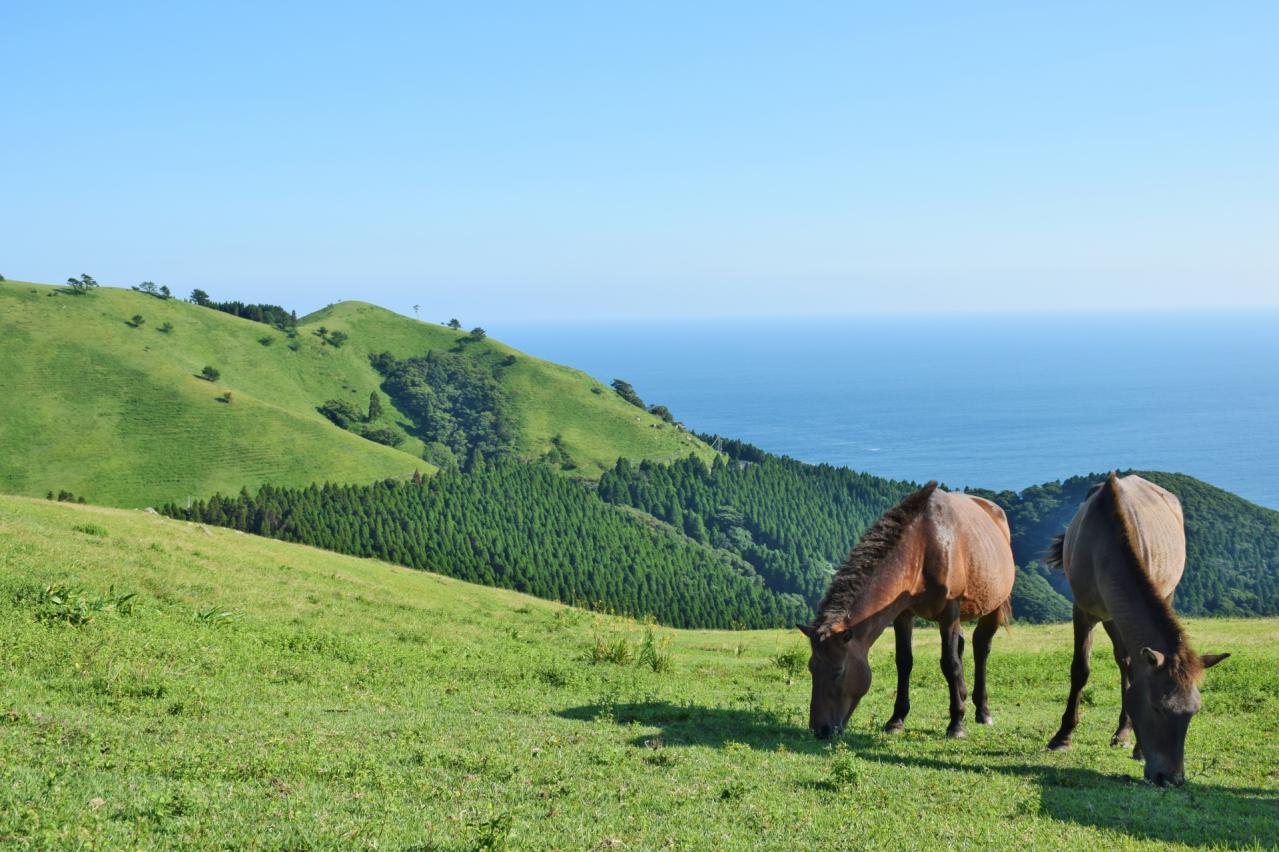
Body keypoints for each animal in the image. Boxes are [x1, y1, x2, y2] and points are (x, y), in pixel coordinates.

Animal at [798, 483, 1018, 736]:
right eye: (812, 669)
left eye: (838, 672)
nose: (821, 729)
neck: (924, 545)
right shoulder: (903, 613)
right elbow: (904, 662)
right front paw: (896, 719)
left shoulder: (949, 612)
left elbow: (949, 663)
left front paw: (956, 724)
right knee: (961, 645)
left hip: (993, 606)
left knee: (981, 648)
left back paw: (982, 710)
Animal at [1048, 470, 1227, 782]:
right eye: (1157, 707)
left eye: (1194, 711)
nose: (1171, 777)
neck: (1104, 550)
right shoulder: (1084, 610)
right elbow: (1080, 670)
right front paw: (1062, 736)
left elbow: (1134, 670)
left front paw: (1137, 746)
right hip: (1110, 617)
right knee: (1124, 661)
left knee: (1128, 662)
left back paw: (1123, 732)